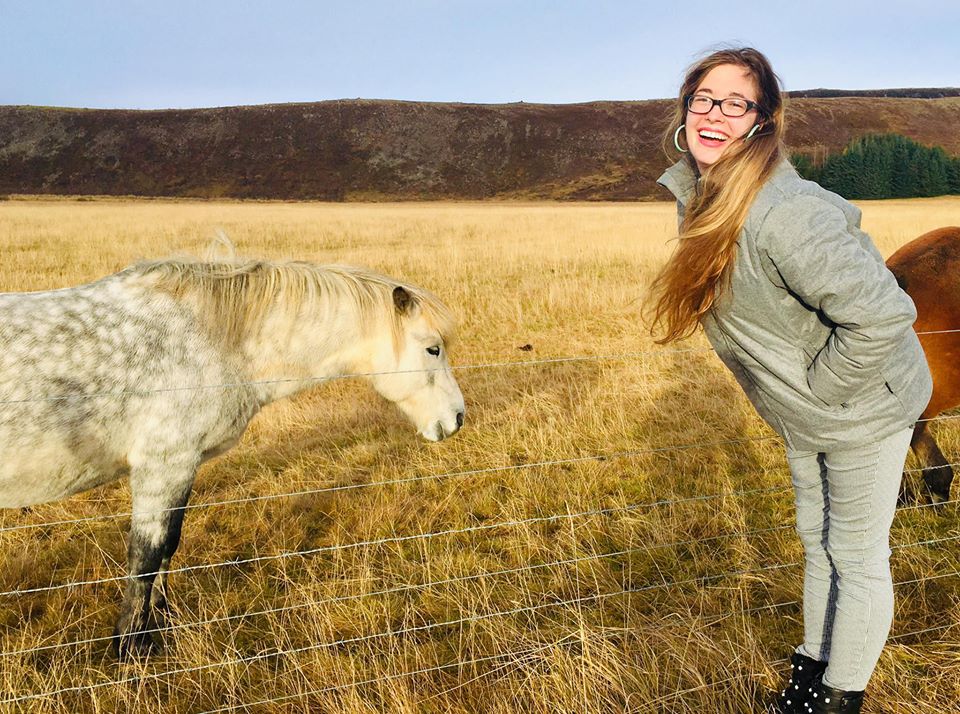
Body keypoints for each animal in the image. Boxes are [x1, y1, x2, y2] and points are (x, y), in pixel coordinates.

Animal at [0, 255, 465, 656]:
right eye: (433, 349)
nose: (457, 418)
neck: (212, 338)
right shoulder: (163, 464)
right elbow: (147, 554)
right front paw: (131, 646)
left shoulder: (180, 468)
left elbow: (169, 544)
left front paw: (162, 619)